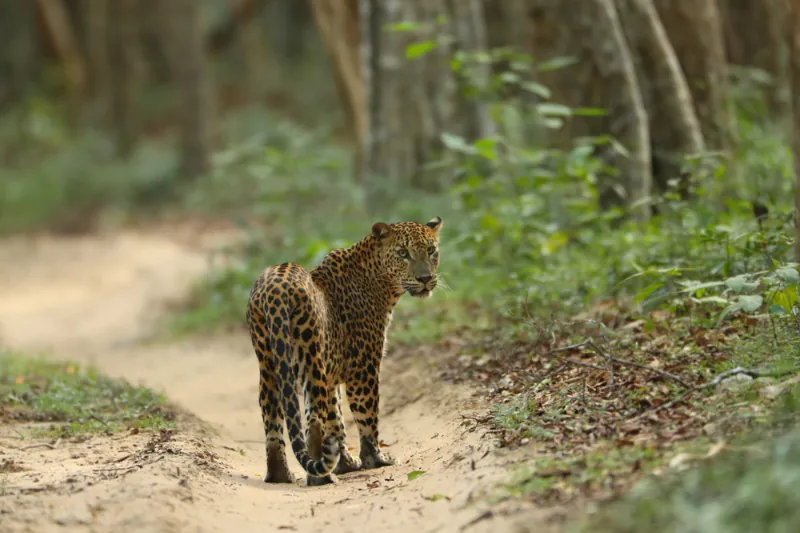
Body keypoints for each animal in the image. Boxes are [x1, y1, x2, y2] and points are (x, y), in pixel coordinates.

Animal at [246, 216, 443, 486]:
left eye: (431, 250)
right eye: (403, 253)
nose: (425, 278)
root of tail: (276, 290)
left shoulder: (332, 374)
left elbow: (336, 418)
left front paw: (345, 464)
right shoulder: (364, 367)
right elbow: (366, 415)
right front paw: (375, 459)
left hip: (268, 363)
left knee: (272, 416)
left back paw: (280, 475)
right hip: (311, 359)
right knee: (313, 421)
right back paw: (322, 478)